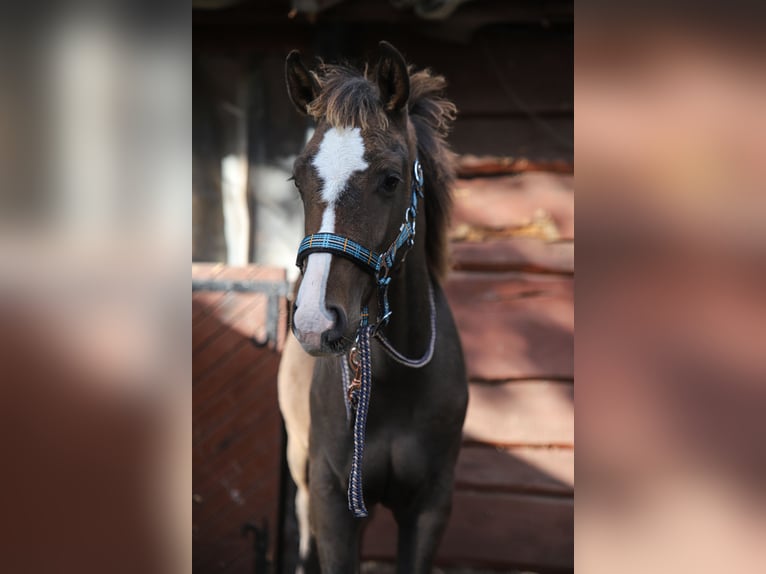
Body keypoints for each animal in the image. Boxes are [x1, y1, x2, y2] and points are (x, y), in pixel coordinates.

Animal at [276, 44, 468, 574]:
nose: (315, 323)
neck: (393, 383)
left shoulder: (430, 508)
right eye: (297, 180)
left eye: (390, 180)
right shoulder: (332, 501)